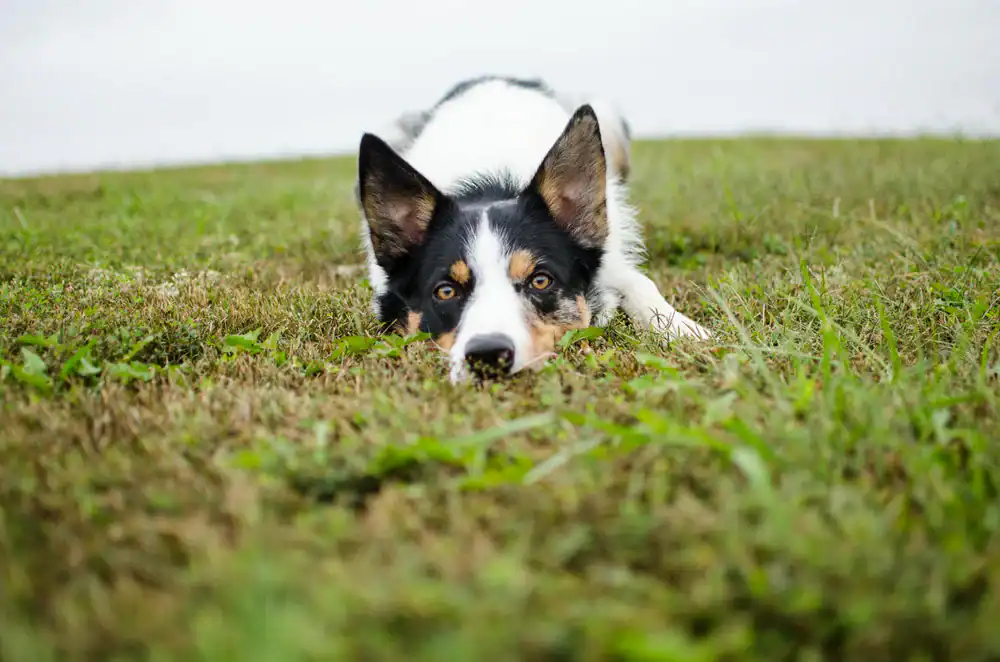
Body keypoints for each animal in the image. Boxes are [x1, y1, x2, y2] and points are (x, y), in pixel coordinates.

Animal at [356, 76, 711, 383]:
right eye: (445, 291)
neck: (490, 186)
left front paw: (682, 329)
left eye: (540, 281)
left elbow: (640, 283)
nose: (487, 356)